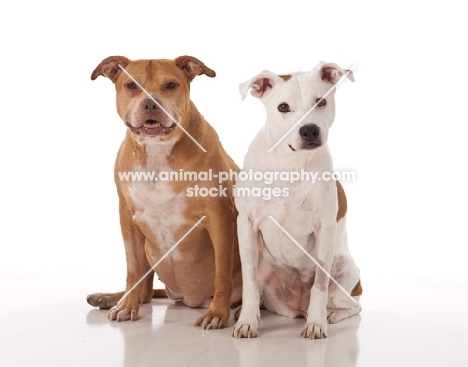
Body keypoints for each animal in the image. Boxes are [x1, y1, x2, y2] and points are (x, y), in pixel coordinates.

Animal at [85, 55, 243, 330]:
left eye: (171, 85)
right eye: (131, 85)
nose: (150, 103)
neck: (157, 152)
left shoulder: (219, 217)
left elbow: (222, 273)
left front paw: (217, 314)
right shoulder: (127, 219)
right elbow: (133, 271)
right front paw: (126, 307)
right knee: (147, 291)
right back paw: (110, 298)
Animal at [233, 61, 362, 340]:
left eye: (321, 102)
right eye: (283, 107)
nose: (310, 130)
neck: (289, 163)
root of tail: (297, 307)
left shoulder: (325, 228)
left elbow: (320, 285)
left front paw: (317, 323)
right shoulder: (246, 224)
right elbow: (249, 282)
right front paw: (247, 321)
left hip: (344, 267)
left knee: (353, 305)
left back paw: (331, 315)